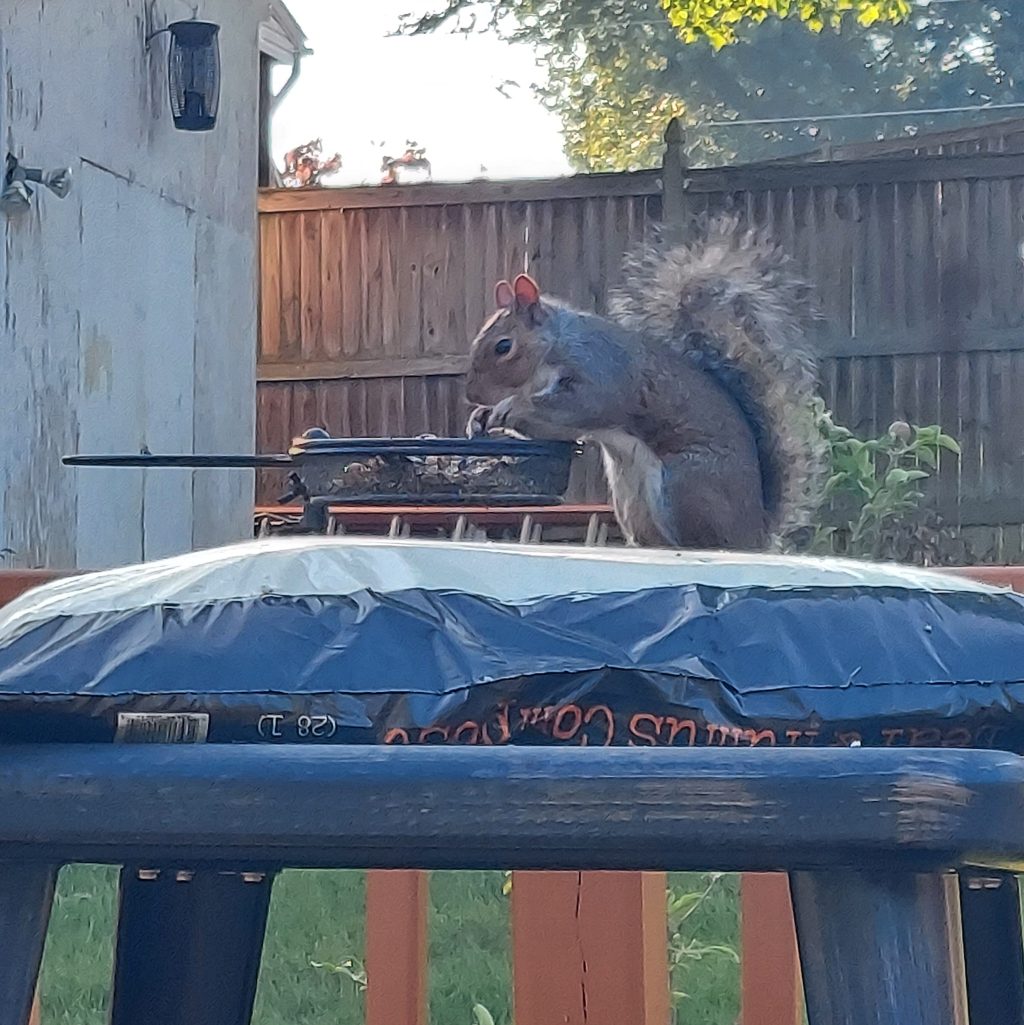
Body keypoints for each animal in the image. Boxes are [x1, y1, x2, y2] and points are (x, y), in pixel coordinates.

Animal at [464, 215, 825, 550]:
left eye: (503, 347)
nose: (471, 395)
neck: (553, 347)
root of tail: (755, 533)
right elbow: (555, 431)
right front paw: (480, 417)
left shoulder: (601, 369)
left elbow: (582, 405)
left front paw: (510, 407)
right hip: (630, 497)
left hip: (685, 486)